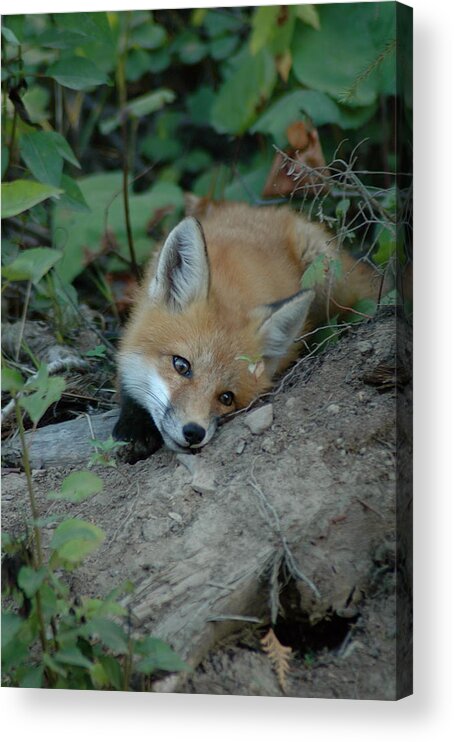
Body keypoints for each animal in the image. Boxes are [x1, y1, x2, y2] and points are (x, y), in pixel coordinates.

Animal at [113, 201, 380, 462]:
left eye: (226, 398)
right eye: (181, 365)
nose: (193, 432)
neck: (232, 286)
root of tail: (273, 211)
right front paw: (133, 429)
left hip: (326, 272)